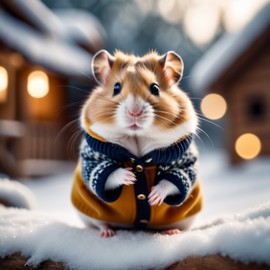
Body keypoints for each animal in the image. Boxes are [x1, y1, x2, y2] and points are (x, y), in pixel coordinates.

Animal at [71, 49, 202, 237]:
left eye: (155, 88)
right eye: (116, 88)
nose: (134, 112)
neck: (137, 136)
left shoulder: (184, 160)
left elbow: (173, 180)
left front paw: (153, 196)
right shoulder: (93, 158)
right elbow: (108, 173)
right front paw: (130, 177)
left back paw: (172, 231)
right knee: (100, 223)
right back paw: (107, 232)